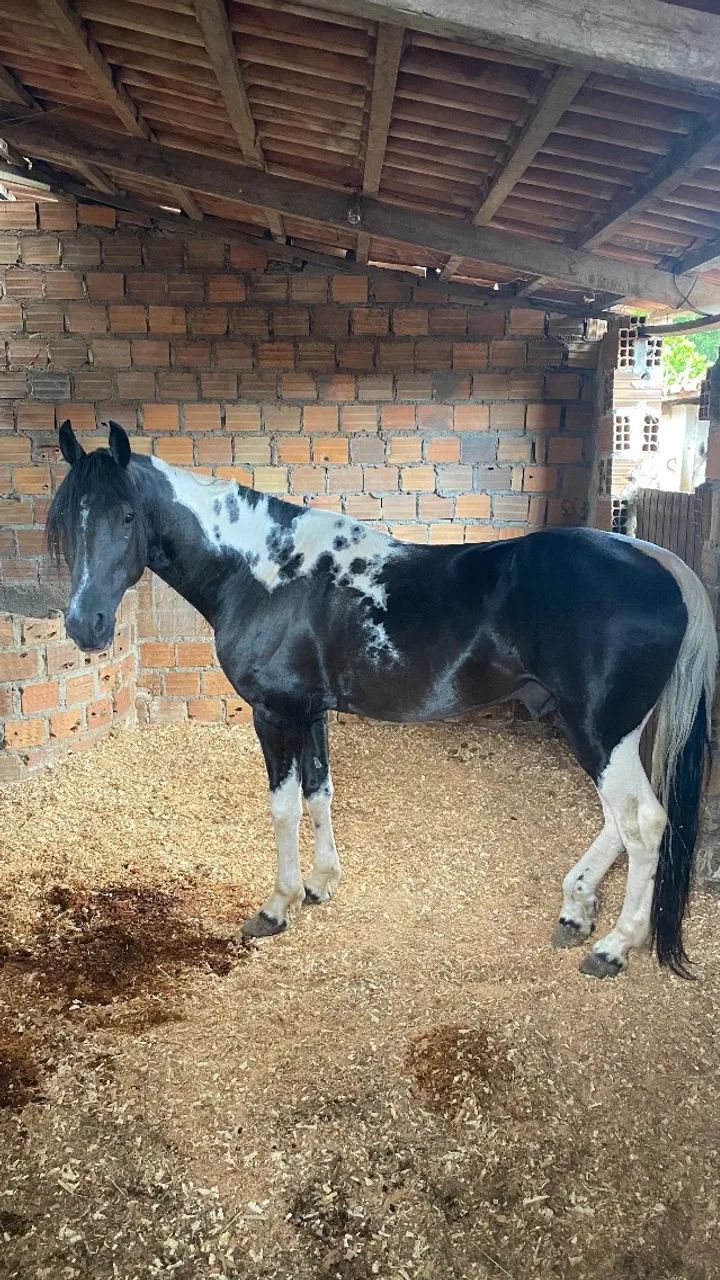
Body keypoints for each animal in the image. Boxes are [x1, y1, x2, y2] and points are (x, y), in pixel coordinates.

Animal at [47, 420, 717, 978]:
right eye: (68, 519)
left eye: (126, 517)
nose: (85, 624)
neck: (264, 572)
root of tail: (662, 564)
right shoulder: (312, 712)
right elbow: (319, 792)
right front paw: (321, 884)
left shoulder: (276, 714)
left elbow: (284, 808)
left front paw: (278, 906)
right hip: (597, 733)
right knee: (616, 822)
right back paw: (576, 908)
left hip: (600, 732)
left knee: (642, 823)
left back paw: (614, 946)